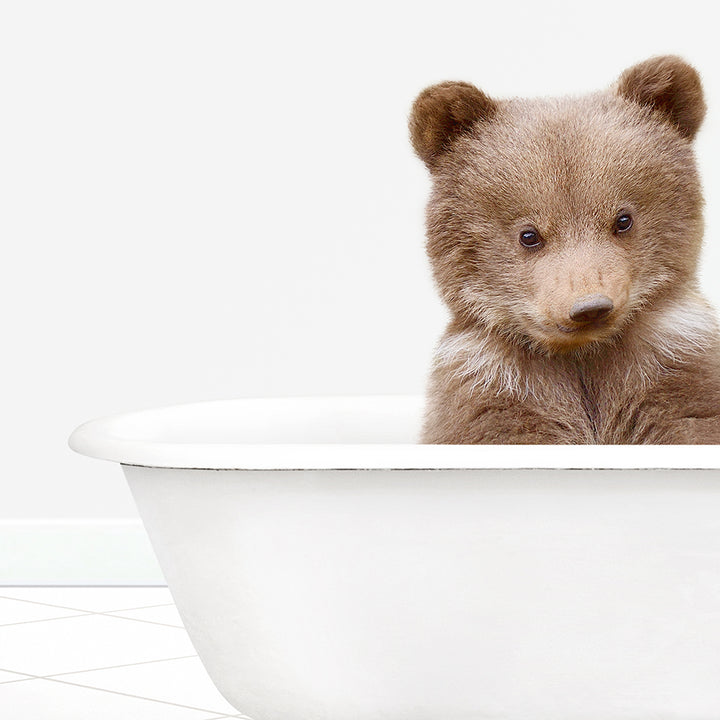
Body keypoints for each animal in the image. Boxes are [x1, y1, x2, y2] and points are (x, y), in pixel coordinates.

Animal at [408, 54, 720, 444]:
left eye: (623, 219)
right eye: (529, 235)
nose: (590, 307)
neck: (581, 355)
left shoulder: (674, 367)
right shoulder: (495, 388)